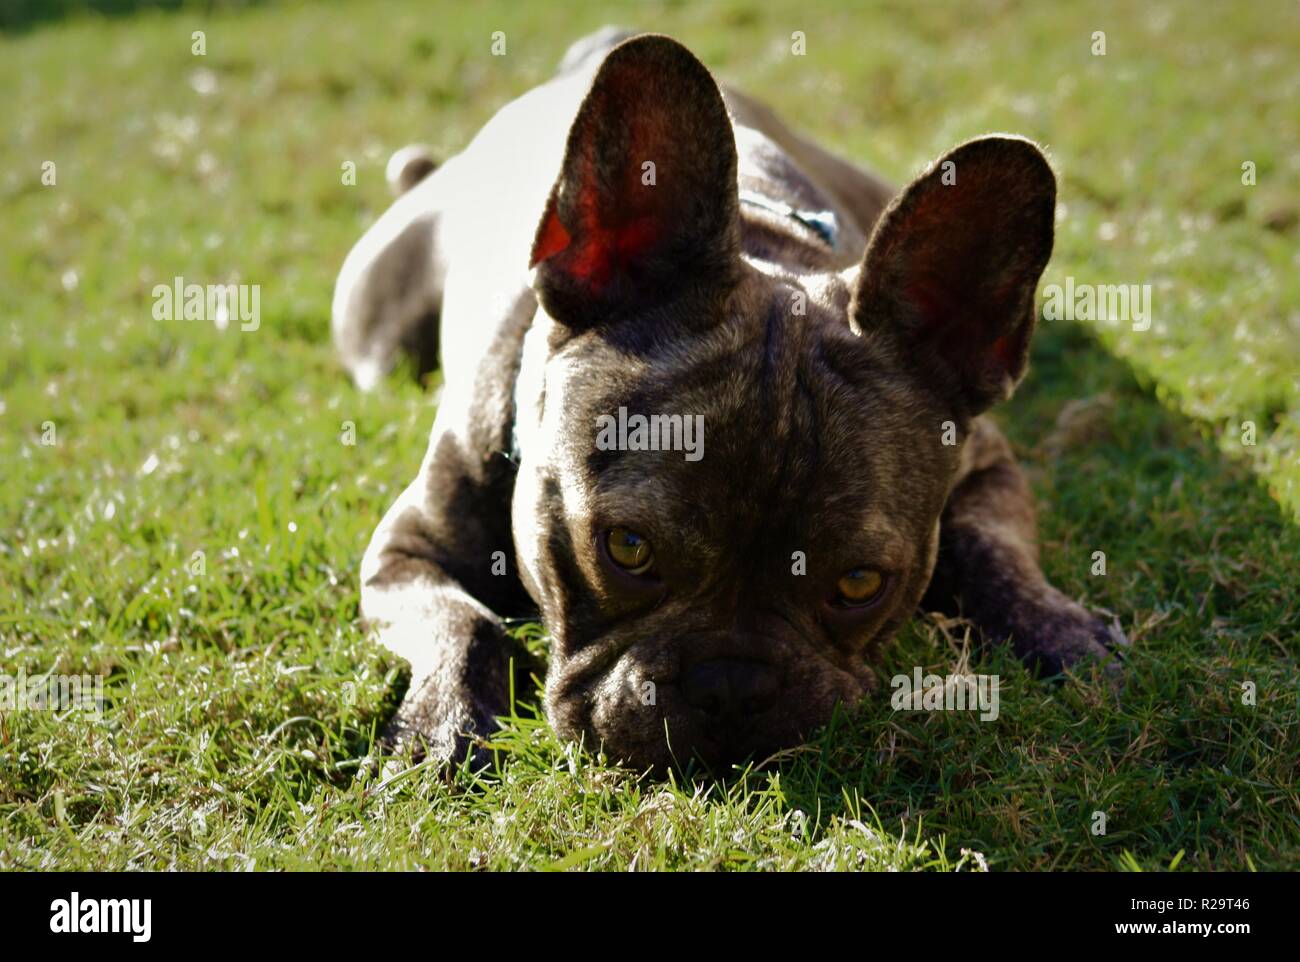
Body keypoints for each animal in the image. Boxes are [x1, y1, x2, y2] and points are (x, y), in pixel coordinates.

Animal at [332, 28, 1128, 774]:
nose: (732, 686)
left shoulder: (988, 465)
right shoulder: (405, 551)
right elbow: (467, 626)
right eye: (626, 548)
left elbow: (993, 548)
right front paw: (442, 727)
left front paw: (1061, 629)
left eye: (861, 584)